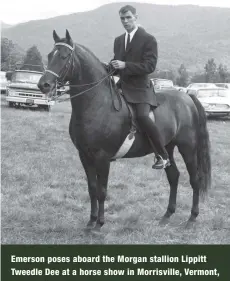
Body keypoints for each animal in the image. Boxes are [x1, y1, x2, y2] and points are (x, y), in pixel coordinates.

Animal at [37, 30, 210, 230]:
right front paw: (91, 221)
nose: (43, 85)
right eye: (50, 55)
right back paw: (167, 215)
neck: (98, 104)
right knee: (174, 176)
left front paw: (99, 224)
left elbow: (102, 191)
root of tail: (187, 97)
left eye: (64, 57)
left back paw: (192, 217)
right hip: (168, 148)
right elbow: (92, 189)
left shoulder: (102, 158)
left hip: (187, 148)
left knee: (194, 179)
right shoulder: (84, 155)